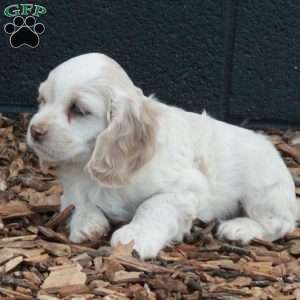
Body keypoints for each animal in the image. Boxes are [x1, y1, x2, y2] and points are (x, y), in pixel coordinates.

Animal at [27, 52, 298, 258]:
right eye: (42, 100)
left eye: (78, 109)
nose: (34, 131)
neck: (89, 165)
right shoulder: (72, 186)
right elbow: (75, 201)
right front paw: (86, 224)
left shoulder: (184, 189)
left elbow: (152, 205)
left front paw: (134, 237)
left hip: (260, 189)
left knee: (280, 223)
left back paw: (239, 228)